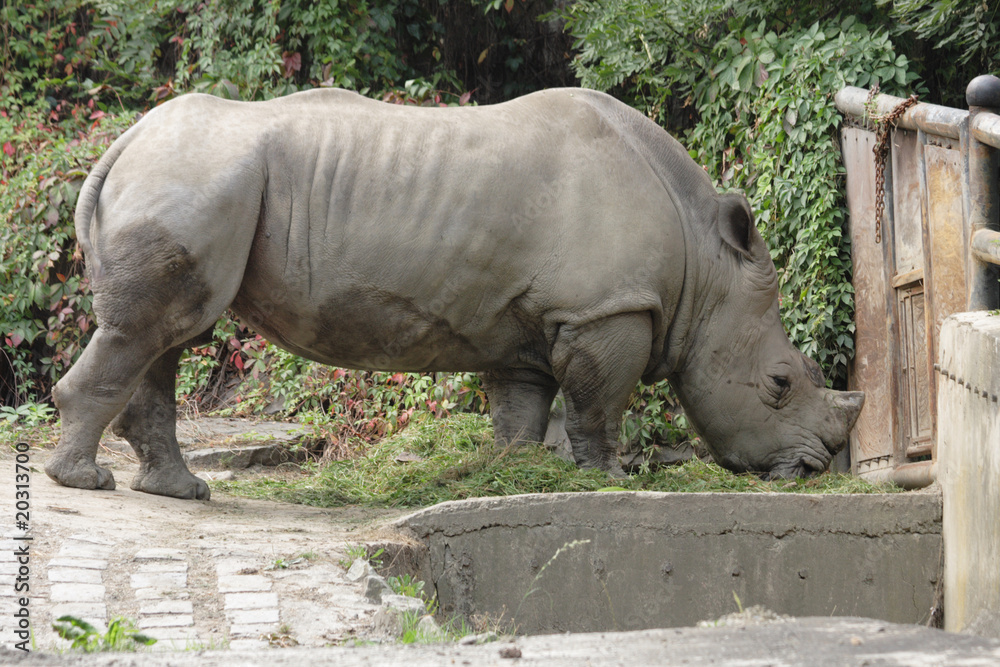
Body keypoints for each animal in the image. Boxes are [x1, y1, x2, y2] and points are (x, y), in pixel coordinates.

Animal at [45, 87, 864, 500]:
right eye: (781, 383)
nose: (816, 467)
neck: (706, 265)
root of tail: (122, 143)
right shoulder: (607, 309)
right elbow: (599, 402)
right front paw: (605, 479)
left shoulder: (530, 323)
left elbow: (522, 412)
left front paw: (510, 477)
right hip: (192, 176)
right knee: (157, 328)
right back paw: (86, 482)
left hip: (188, 176)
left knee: (170, 334)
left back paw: (177, 491)